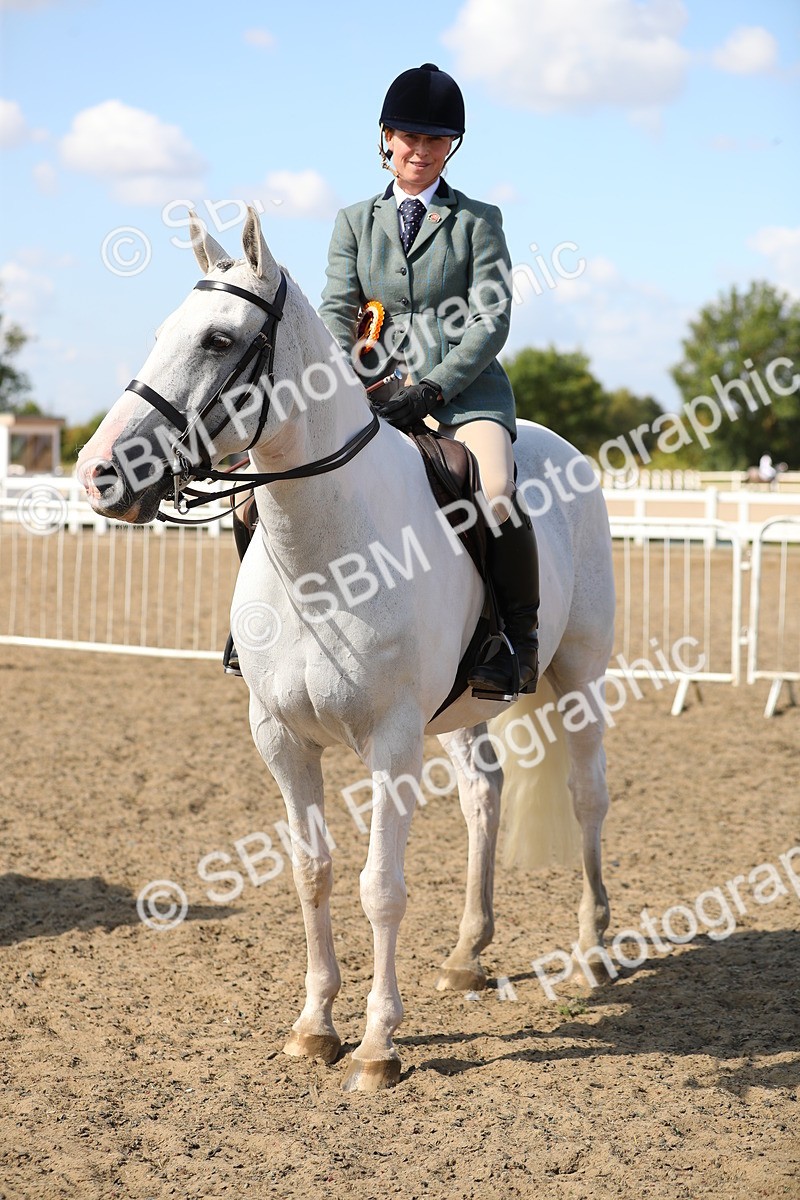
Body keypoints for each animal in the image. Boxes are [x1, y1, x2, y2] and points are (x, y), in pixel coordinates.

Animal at [77, 208, 615, 1093]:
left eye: (219, 340)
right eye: (162, 333)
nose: (99, 475)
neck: (325, 553)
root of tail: (555, 443)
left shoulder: (392, 742)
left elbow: (380, 888)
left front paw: (376, 1046)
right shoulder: (281, 740)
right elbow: (313, 874)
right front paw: (314, 1028)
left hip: (579, 678)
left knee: (586, 796)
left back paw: (593, 951)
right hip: (462, 710)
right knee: (483, 793)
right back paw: (467, 955)